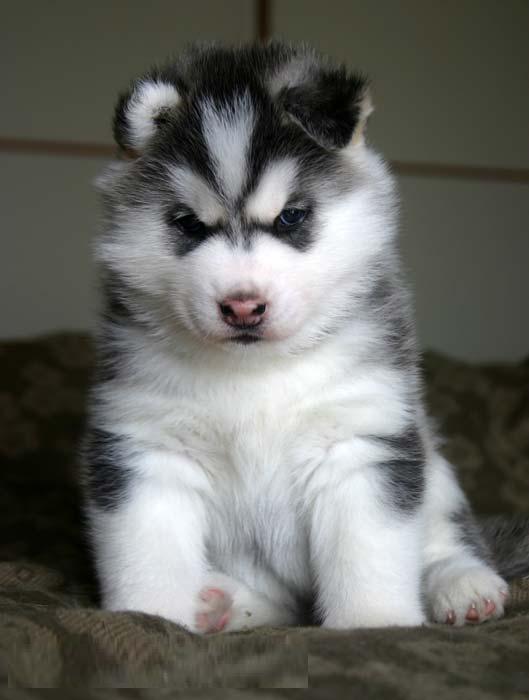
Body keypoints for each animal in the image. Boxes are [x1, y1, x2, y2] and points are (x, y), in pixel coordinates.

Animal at [82, 43, 516, 636]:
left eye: (291, 217)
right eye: (189, 224)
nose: (242, 305)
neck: (255, 375)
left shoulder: (362, 440)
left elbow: (368, 557)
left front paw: (374, 625)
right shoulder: (146, 447)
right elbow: (149, 561)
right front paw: (150, 619)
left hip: (435, 470)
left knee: (447, 538)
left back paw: (464, 584)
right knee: (283, 603)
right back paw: (223, 603)